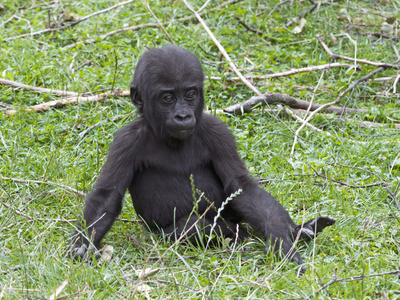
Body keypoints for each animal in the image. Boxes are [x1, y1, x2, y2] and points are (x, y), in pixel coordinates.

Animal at [69, 44, 334, 270]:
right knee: (189, 227)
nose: (183, 116)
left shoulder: (218, 132)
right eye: (168, 98)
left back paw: (301, 230)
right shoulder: (125, 142)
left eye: (190, 94)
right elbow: (107, 196)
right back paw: (235, 235)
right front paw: (82, 244)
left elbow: (241, 187)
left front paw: (281, 240)